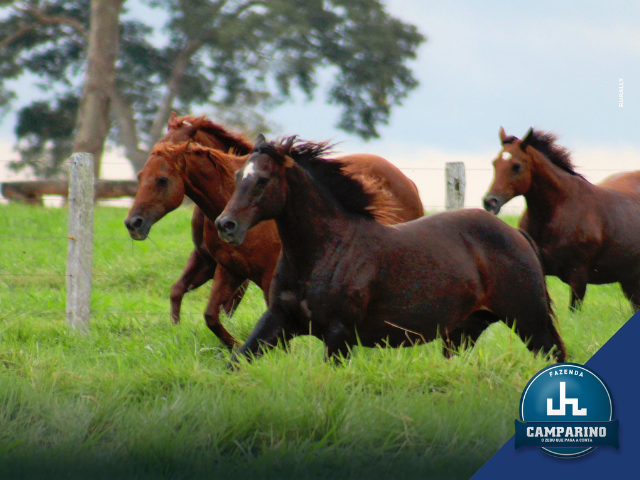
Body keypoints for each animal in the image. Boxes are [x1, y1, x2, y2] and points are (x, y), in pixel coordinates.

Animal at [125, 117, 424, 348]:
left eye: (162, 180)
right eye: (140, 176)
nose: (133, 223)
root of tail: (407, 181)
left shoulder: (268, 276)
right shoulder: (228, 269)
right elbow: (210, 314)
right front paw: (232, 344)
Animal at [216, 136, 564, 368]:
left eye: (262, 180)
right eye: (237, 176)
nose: (225, 225)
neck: (323, 253)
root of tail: (517, 235)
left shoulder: (338, 335)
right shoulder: (278, 321)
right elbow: (236, 362)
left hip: (529, 321)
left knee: (555, 353)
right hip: (463, 332)